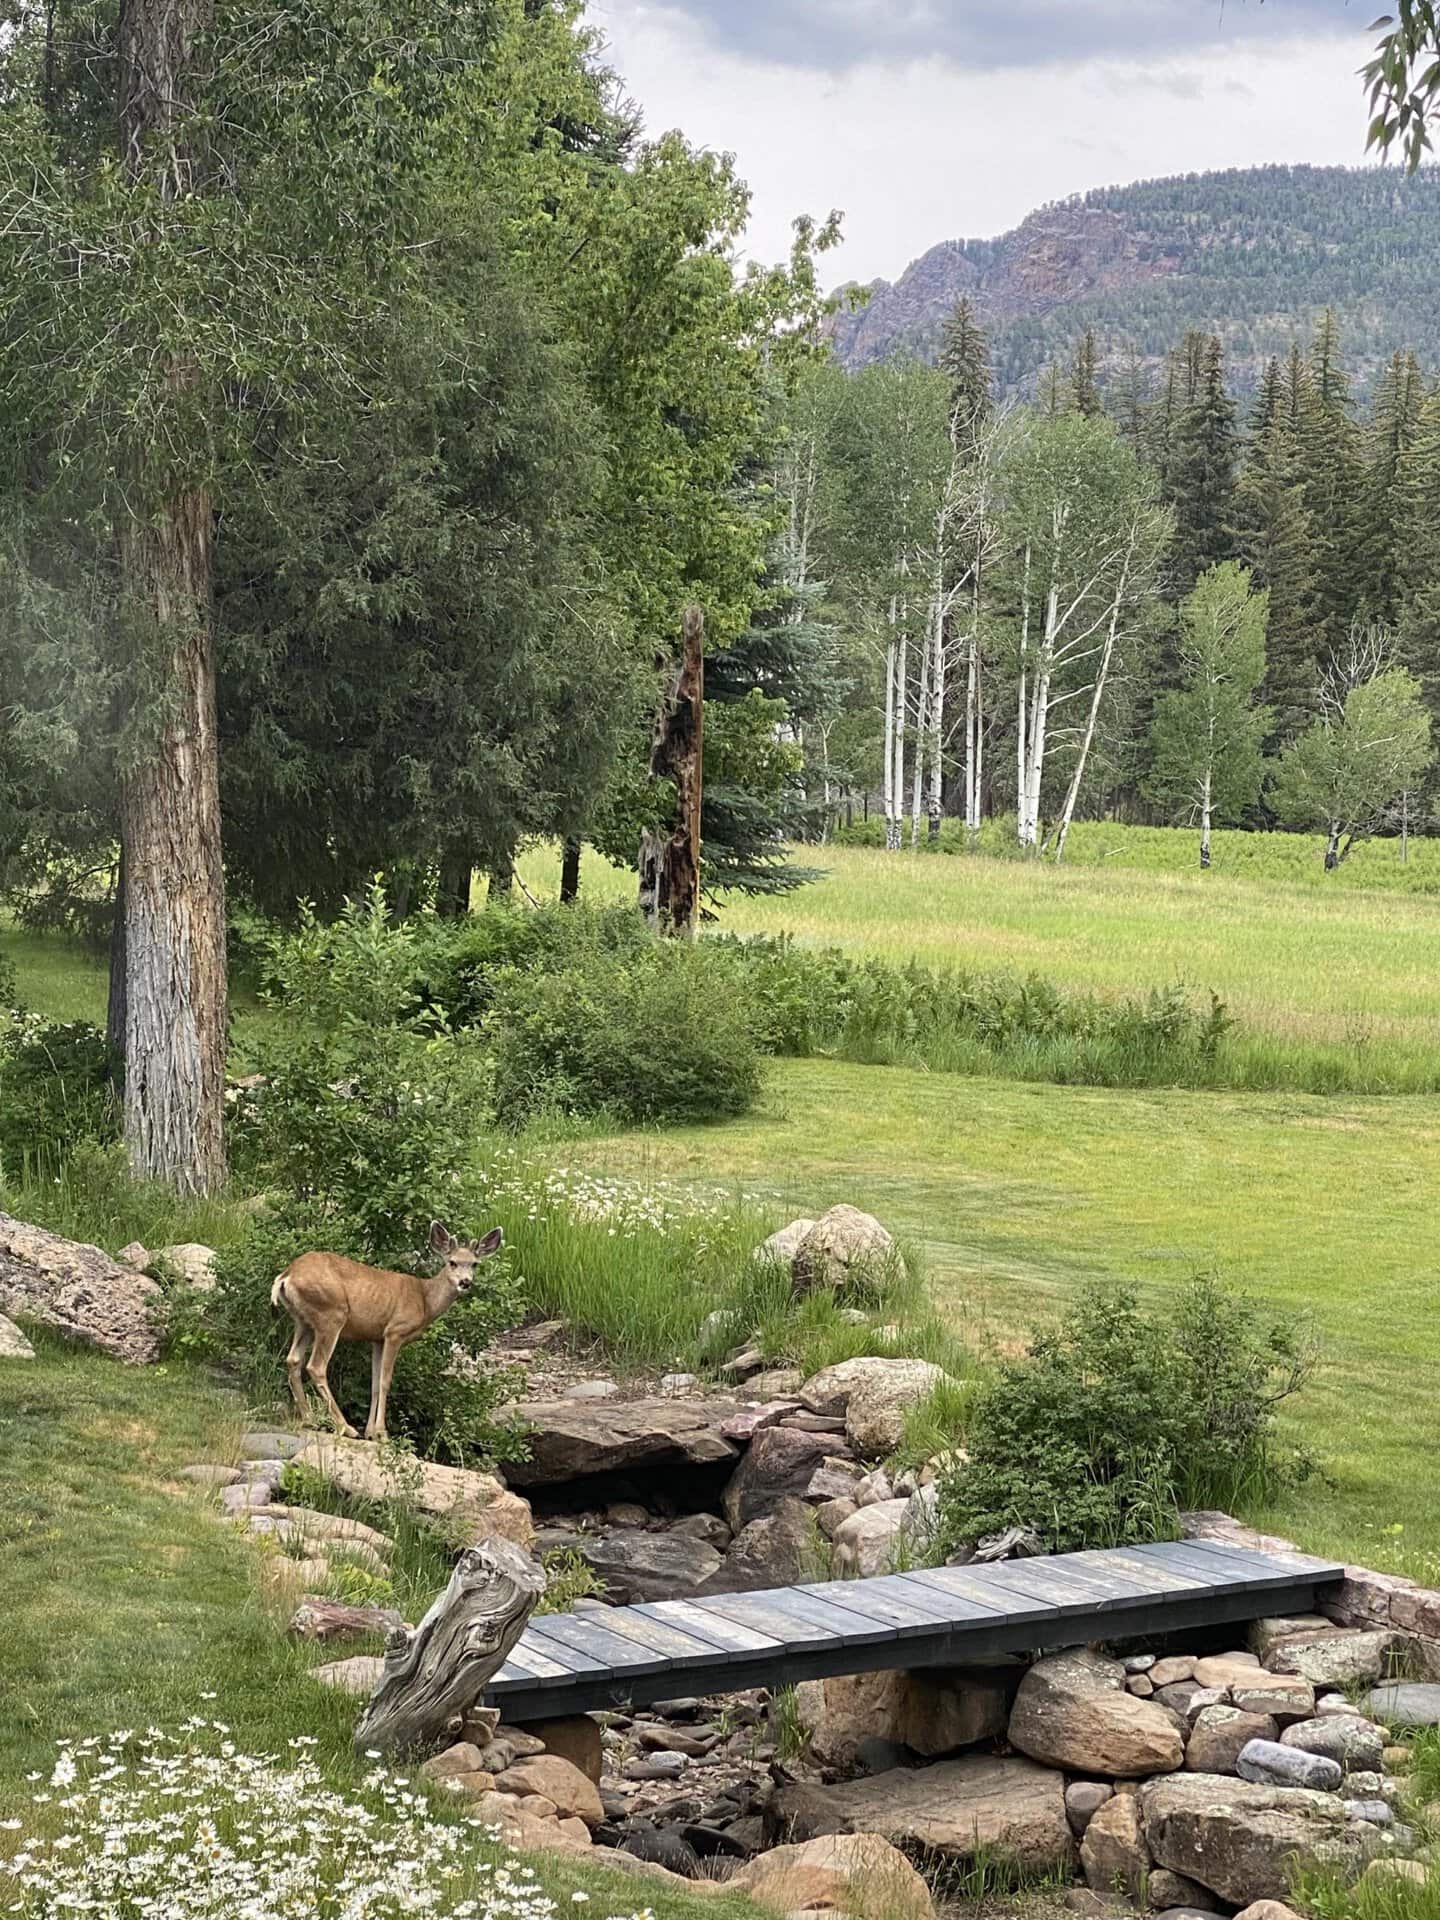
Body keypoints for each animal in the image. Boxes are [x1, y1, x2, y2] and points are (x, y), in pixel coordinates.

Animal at [271, 1221, 504, 1441]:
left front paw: (371, 1432)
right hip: (331, 1314)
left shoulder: (377, 1338)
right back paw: (346, 1427)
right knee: (316, 1366)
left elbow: (374, 1383)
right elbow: (385, 1381)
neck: (425, 1300)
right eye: (452, 1262)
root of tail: (286, 1276)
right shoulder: (395, 1331)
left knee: (293, 1359)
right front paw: (382, 1433)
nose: (465, 1282)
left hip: (304, 1321)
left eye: (474, 1264)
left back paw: (309, 1418)